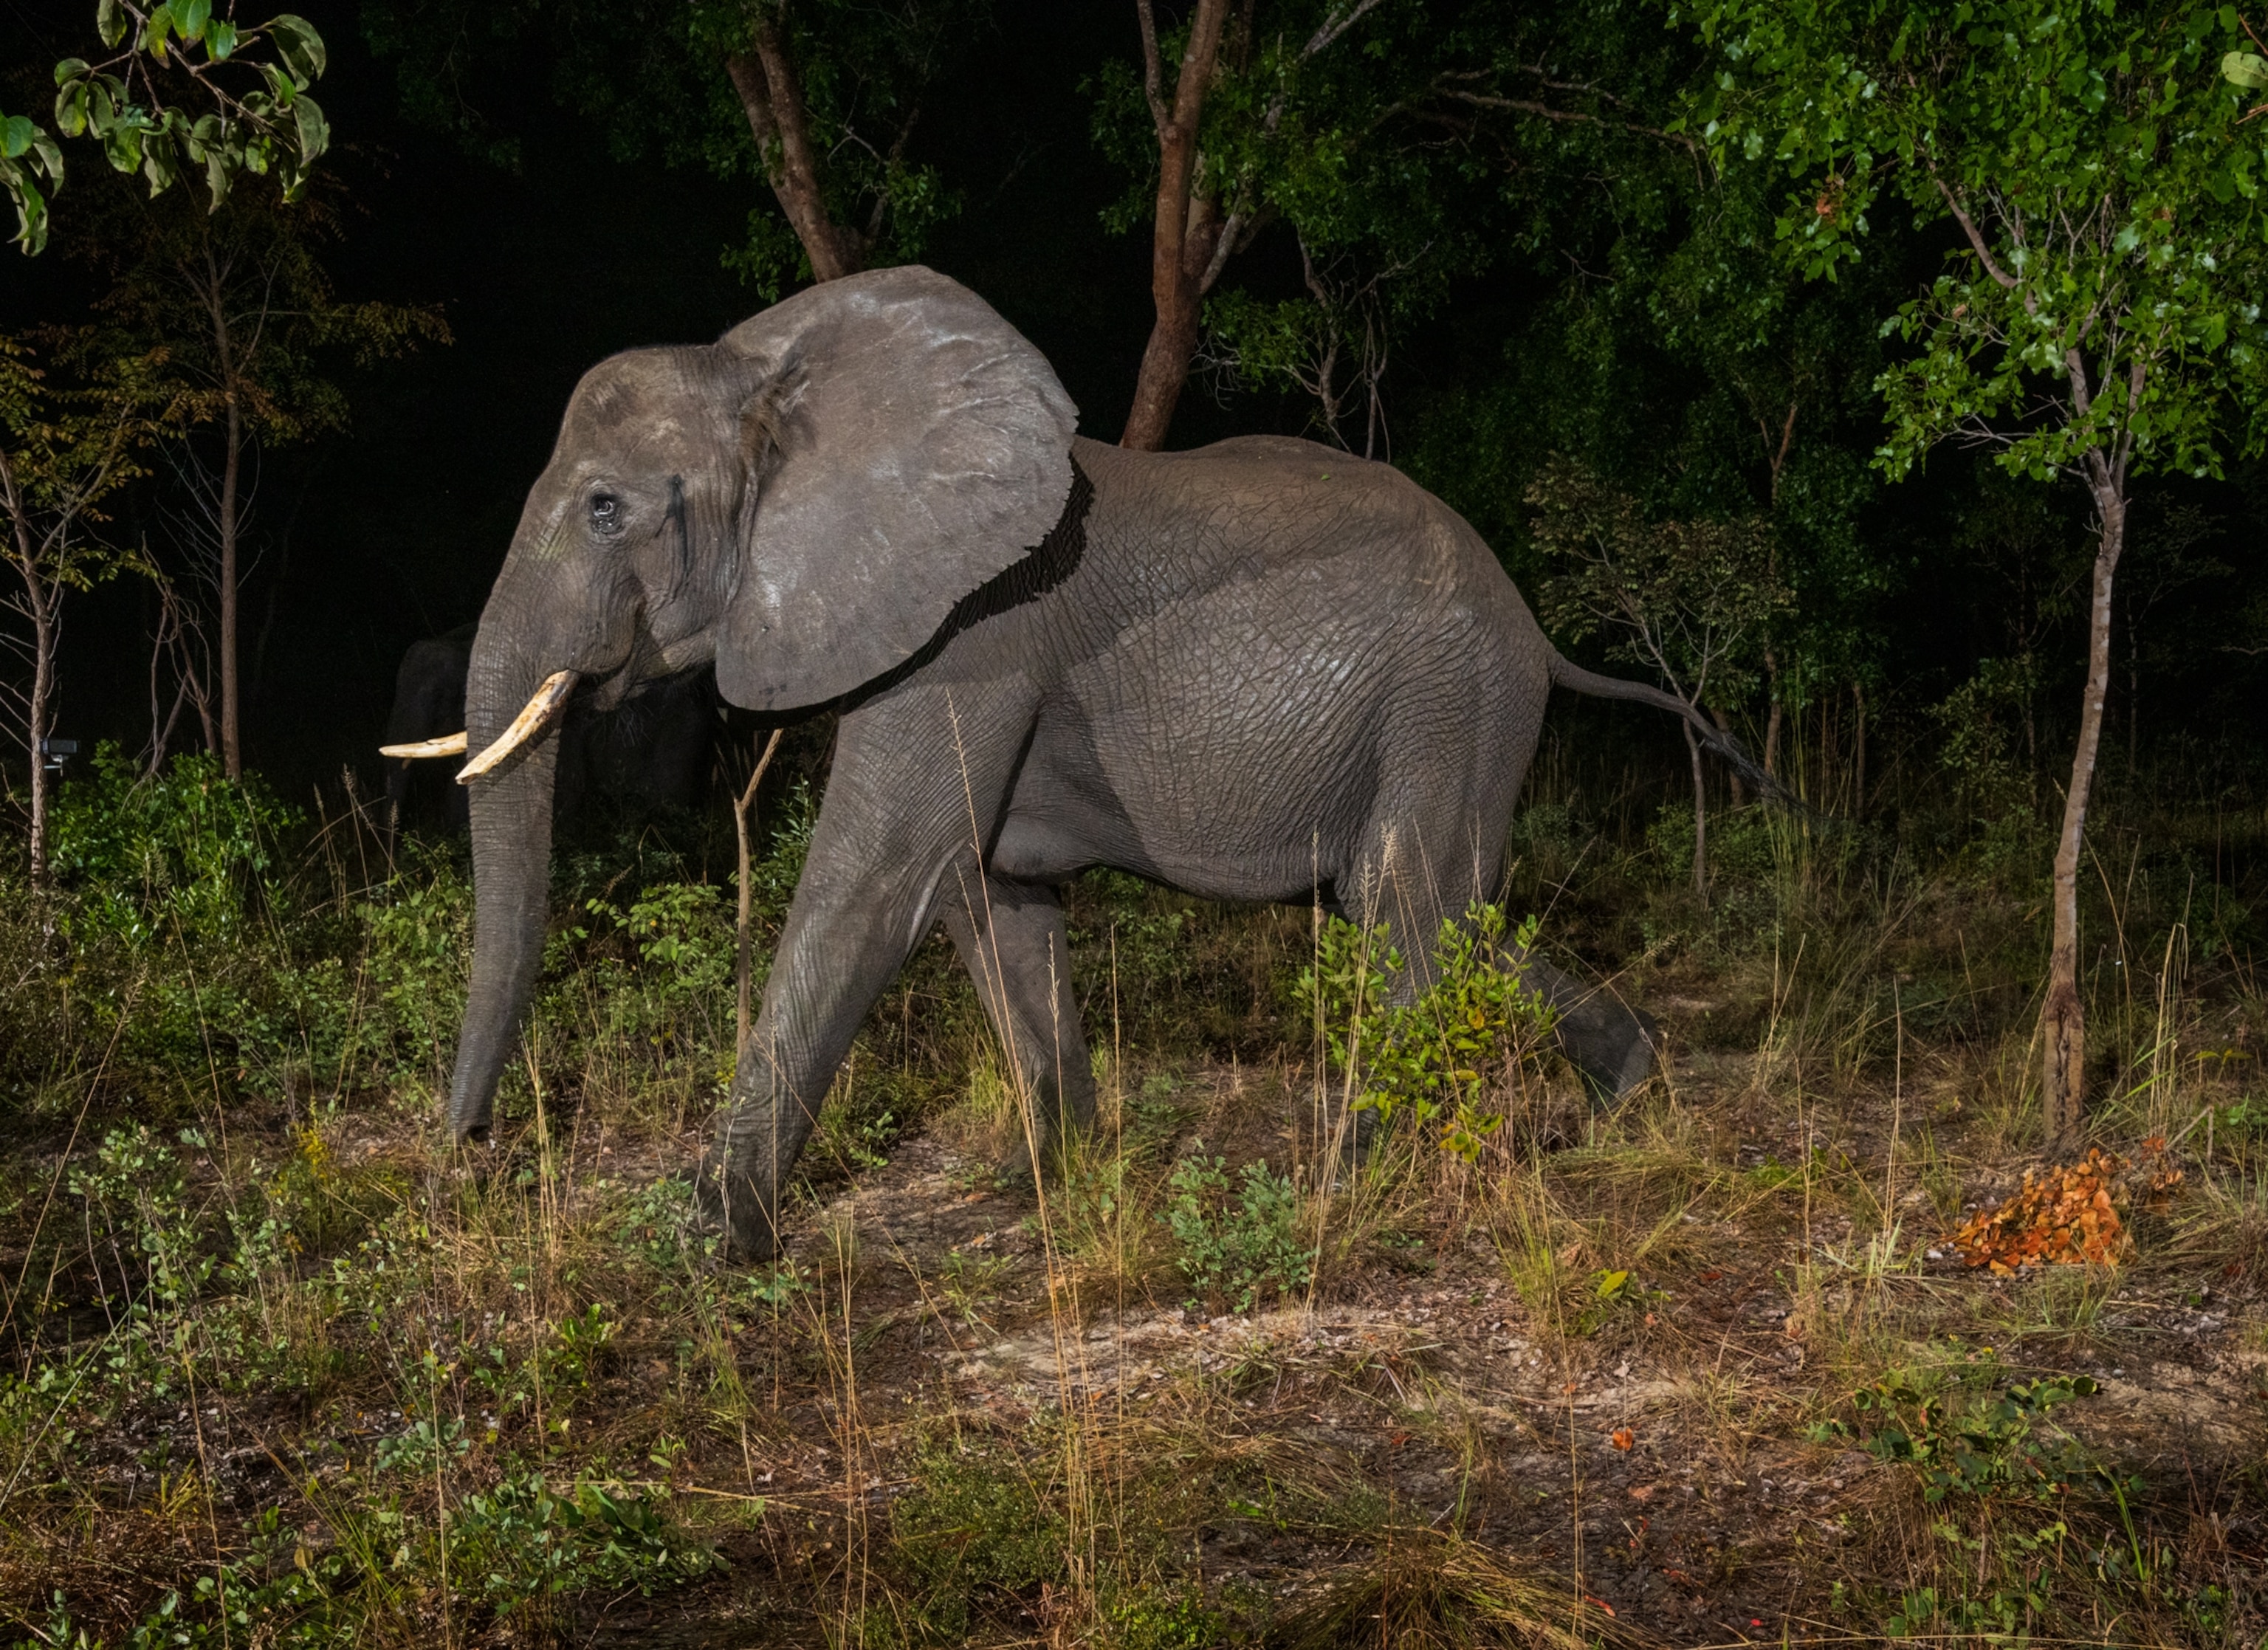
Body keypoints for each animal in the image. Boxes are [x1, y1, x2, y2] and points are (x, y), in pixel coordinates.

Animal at [439, 265, 1765, 1263]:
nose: (468, 1157)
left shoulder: (973, 636)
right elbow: (992, 896)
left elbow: (878, 882)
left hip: (1452, 696)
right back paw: (1626, 1102)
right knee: (1446, 912)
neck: (772, 376)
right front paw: (1059, 1191)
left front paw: (708, 1245)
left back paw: (1344, 1190)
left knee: (1403, 900)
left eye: (604, 509)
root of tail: (1534, 626)